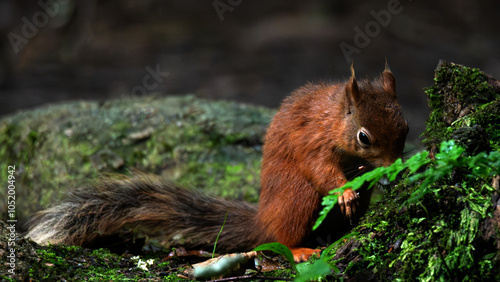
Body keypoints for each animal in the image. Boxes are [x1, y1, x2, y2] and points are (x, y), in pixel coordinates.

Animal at [27, 64, 408, 262]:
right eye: (363, 137)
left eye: (405, 128)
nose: (394, 165)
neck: (334, 119)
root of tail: (263, 218)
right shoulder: (312, 141)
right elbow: (320, 169)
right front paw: (344, 190)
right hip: (296, 198)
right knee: (281, 237)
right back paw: (299, 248)